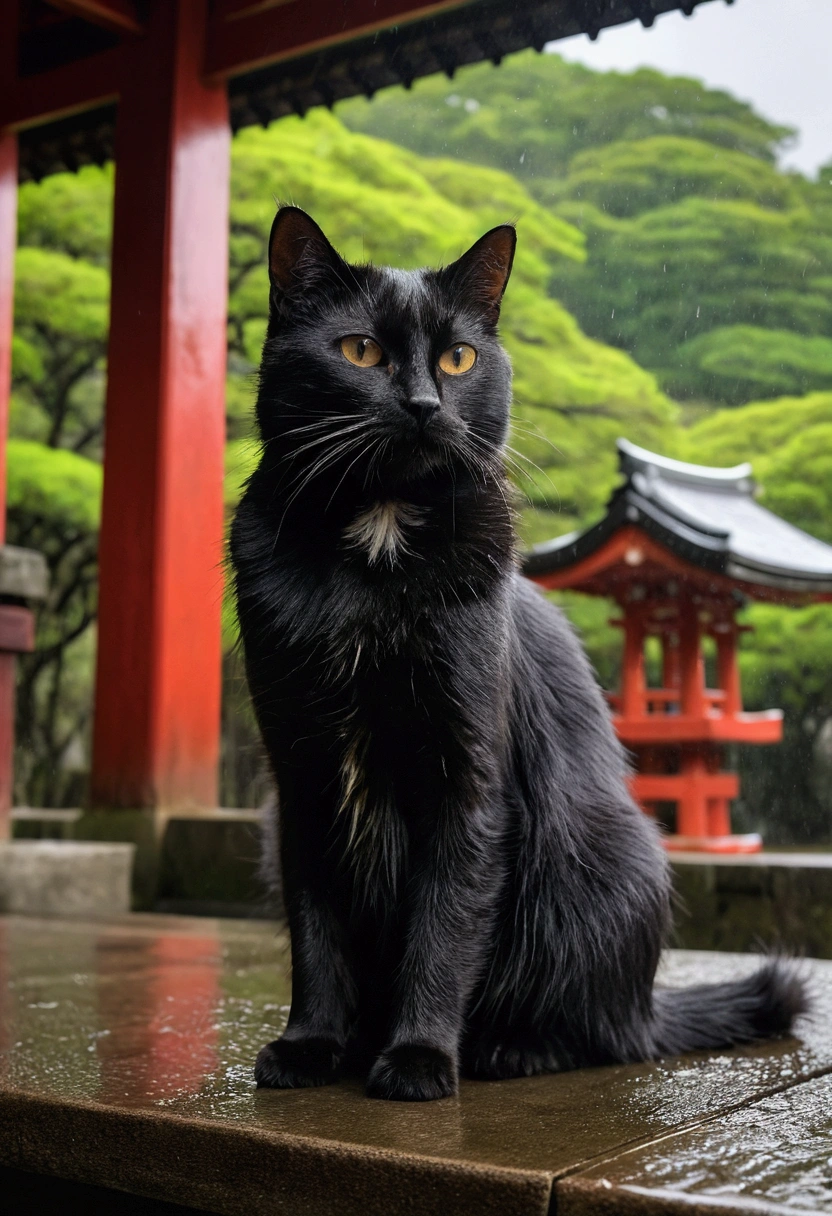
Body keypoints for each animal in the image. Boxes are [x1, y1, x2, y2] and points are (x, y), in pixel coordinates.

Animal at [232, 209, 807, 1104]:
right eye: (359, 351)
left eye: (459, 358)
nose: (424, 403)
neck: (378, 544)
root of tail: (650, 1005)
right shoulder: (301, 774)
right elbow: (314, 928)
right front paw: (310, 1045)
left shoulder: (468, 776)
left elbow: (444, 924)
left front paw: (420, 1059)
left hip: (606, 861)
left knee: (606, 1033)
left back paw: (512, 1049)